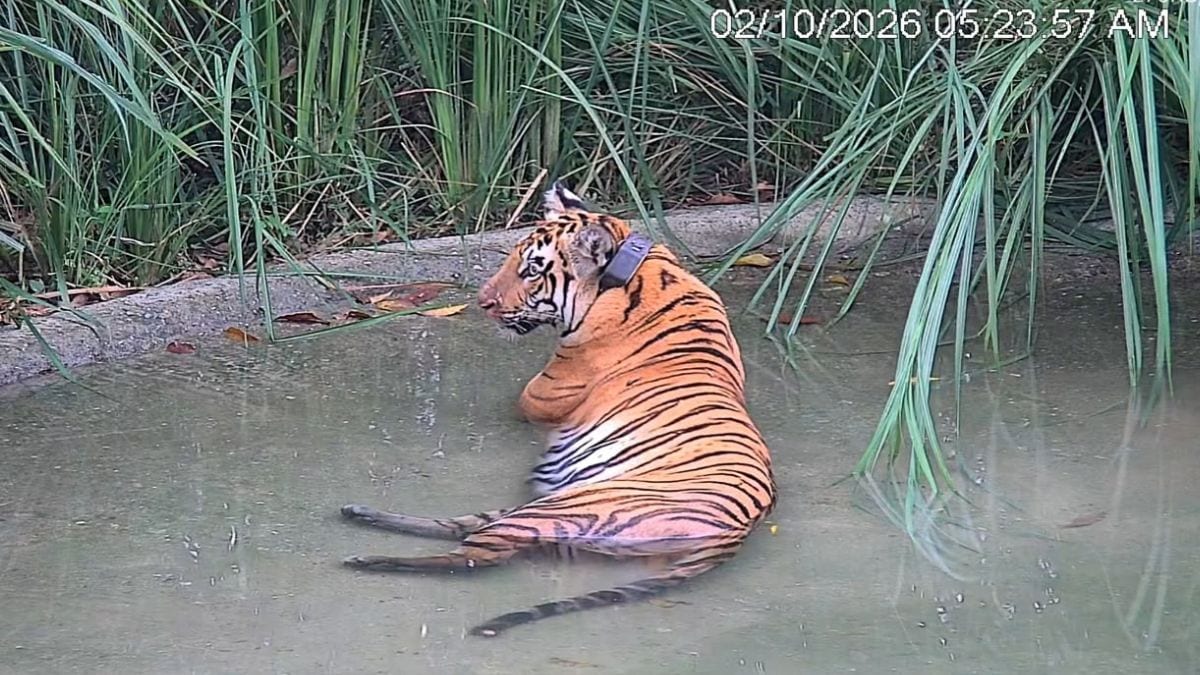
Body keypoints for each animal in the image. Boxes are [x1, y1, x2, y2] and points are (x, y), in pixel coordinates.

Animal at [340, 180, 777, 637]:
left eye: (532, 269)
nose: (482, 302)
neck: (642, 270)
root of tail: (738, 531)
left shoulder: (541, 393)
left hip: (561, 508)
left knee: (473, 556)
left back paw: (367, 559)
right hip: (545, 507)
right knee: (463, 526)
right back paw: (360, 513)